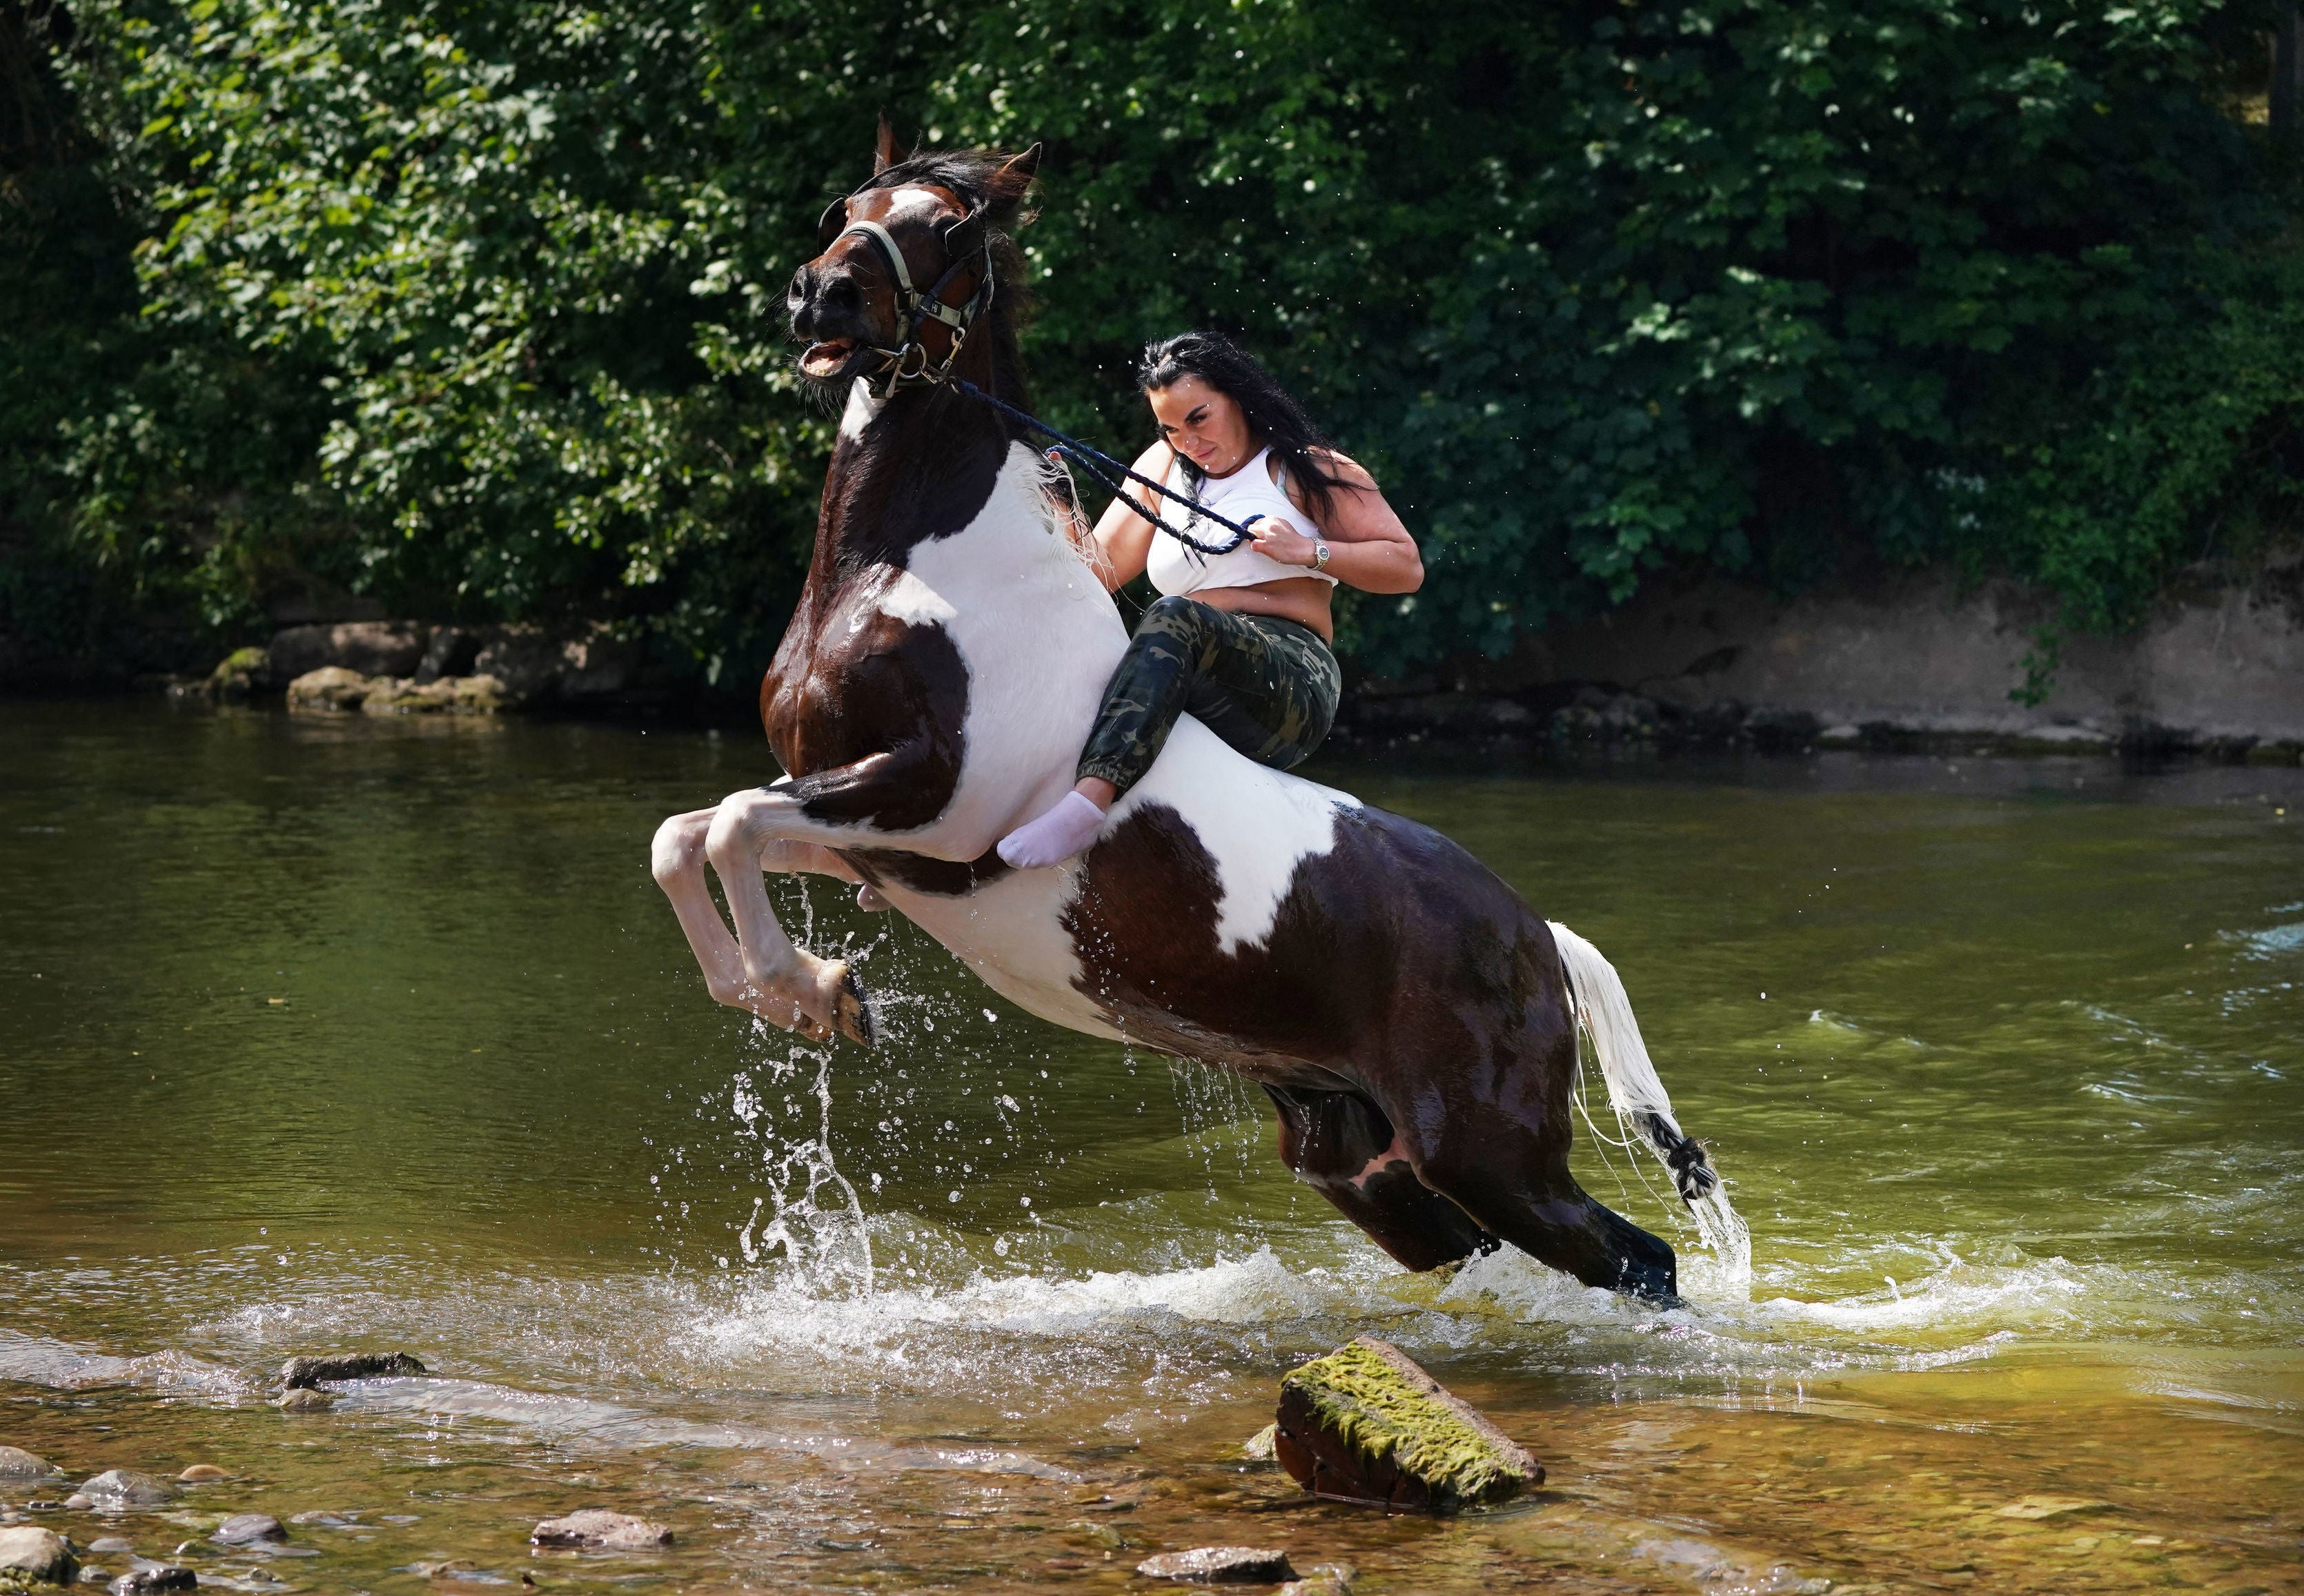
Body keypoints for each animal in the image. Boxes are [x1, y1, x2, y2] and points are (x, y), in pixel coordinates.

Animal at [649, 124, 1742, 1299]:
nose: (822, 295)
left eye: (946, 227)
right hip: (1358, 1157)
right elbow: (690, 834)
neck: (913, 573)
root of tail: (1538, 935)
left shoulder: (932, 804)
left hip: (1489, 1147)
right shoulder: (868, 842)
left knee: (1639, 1259)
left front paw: (809, 989)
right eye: (847, 207)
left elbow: (730, 825)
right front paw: (806, 990)